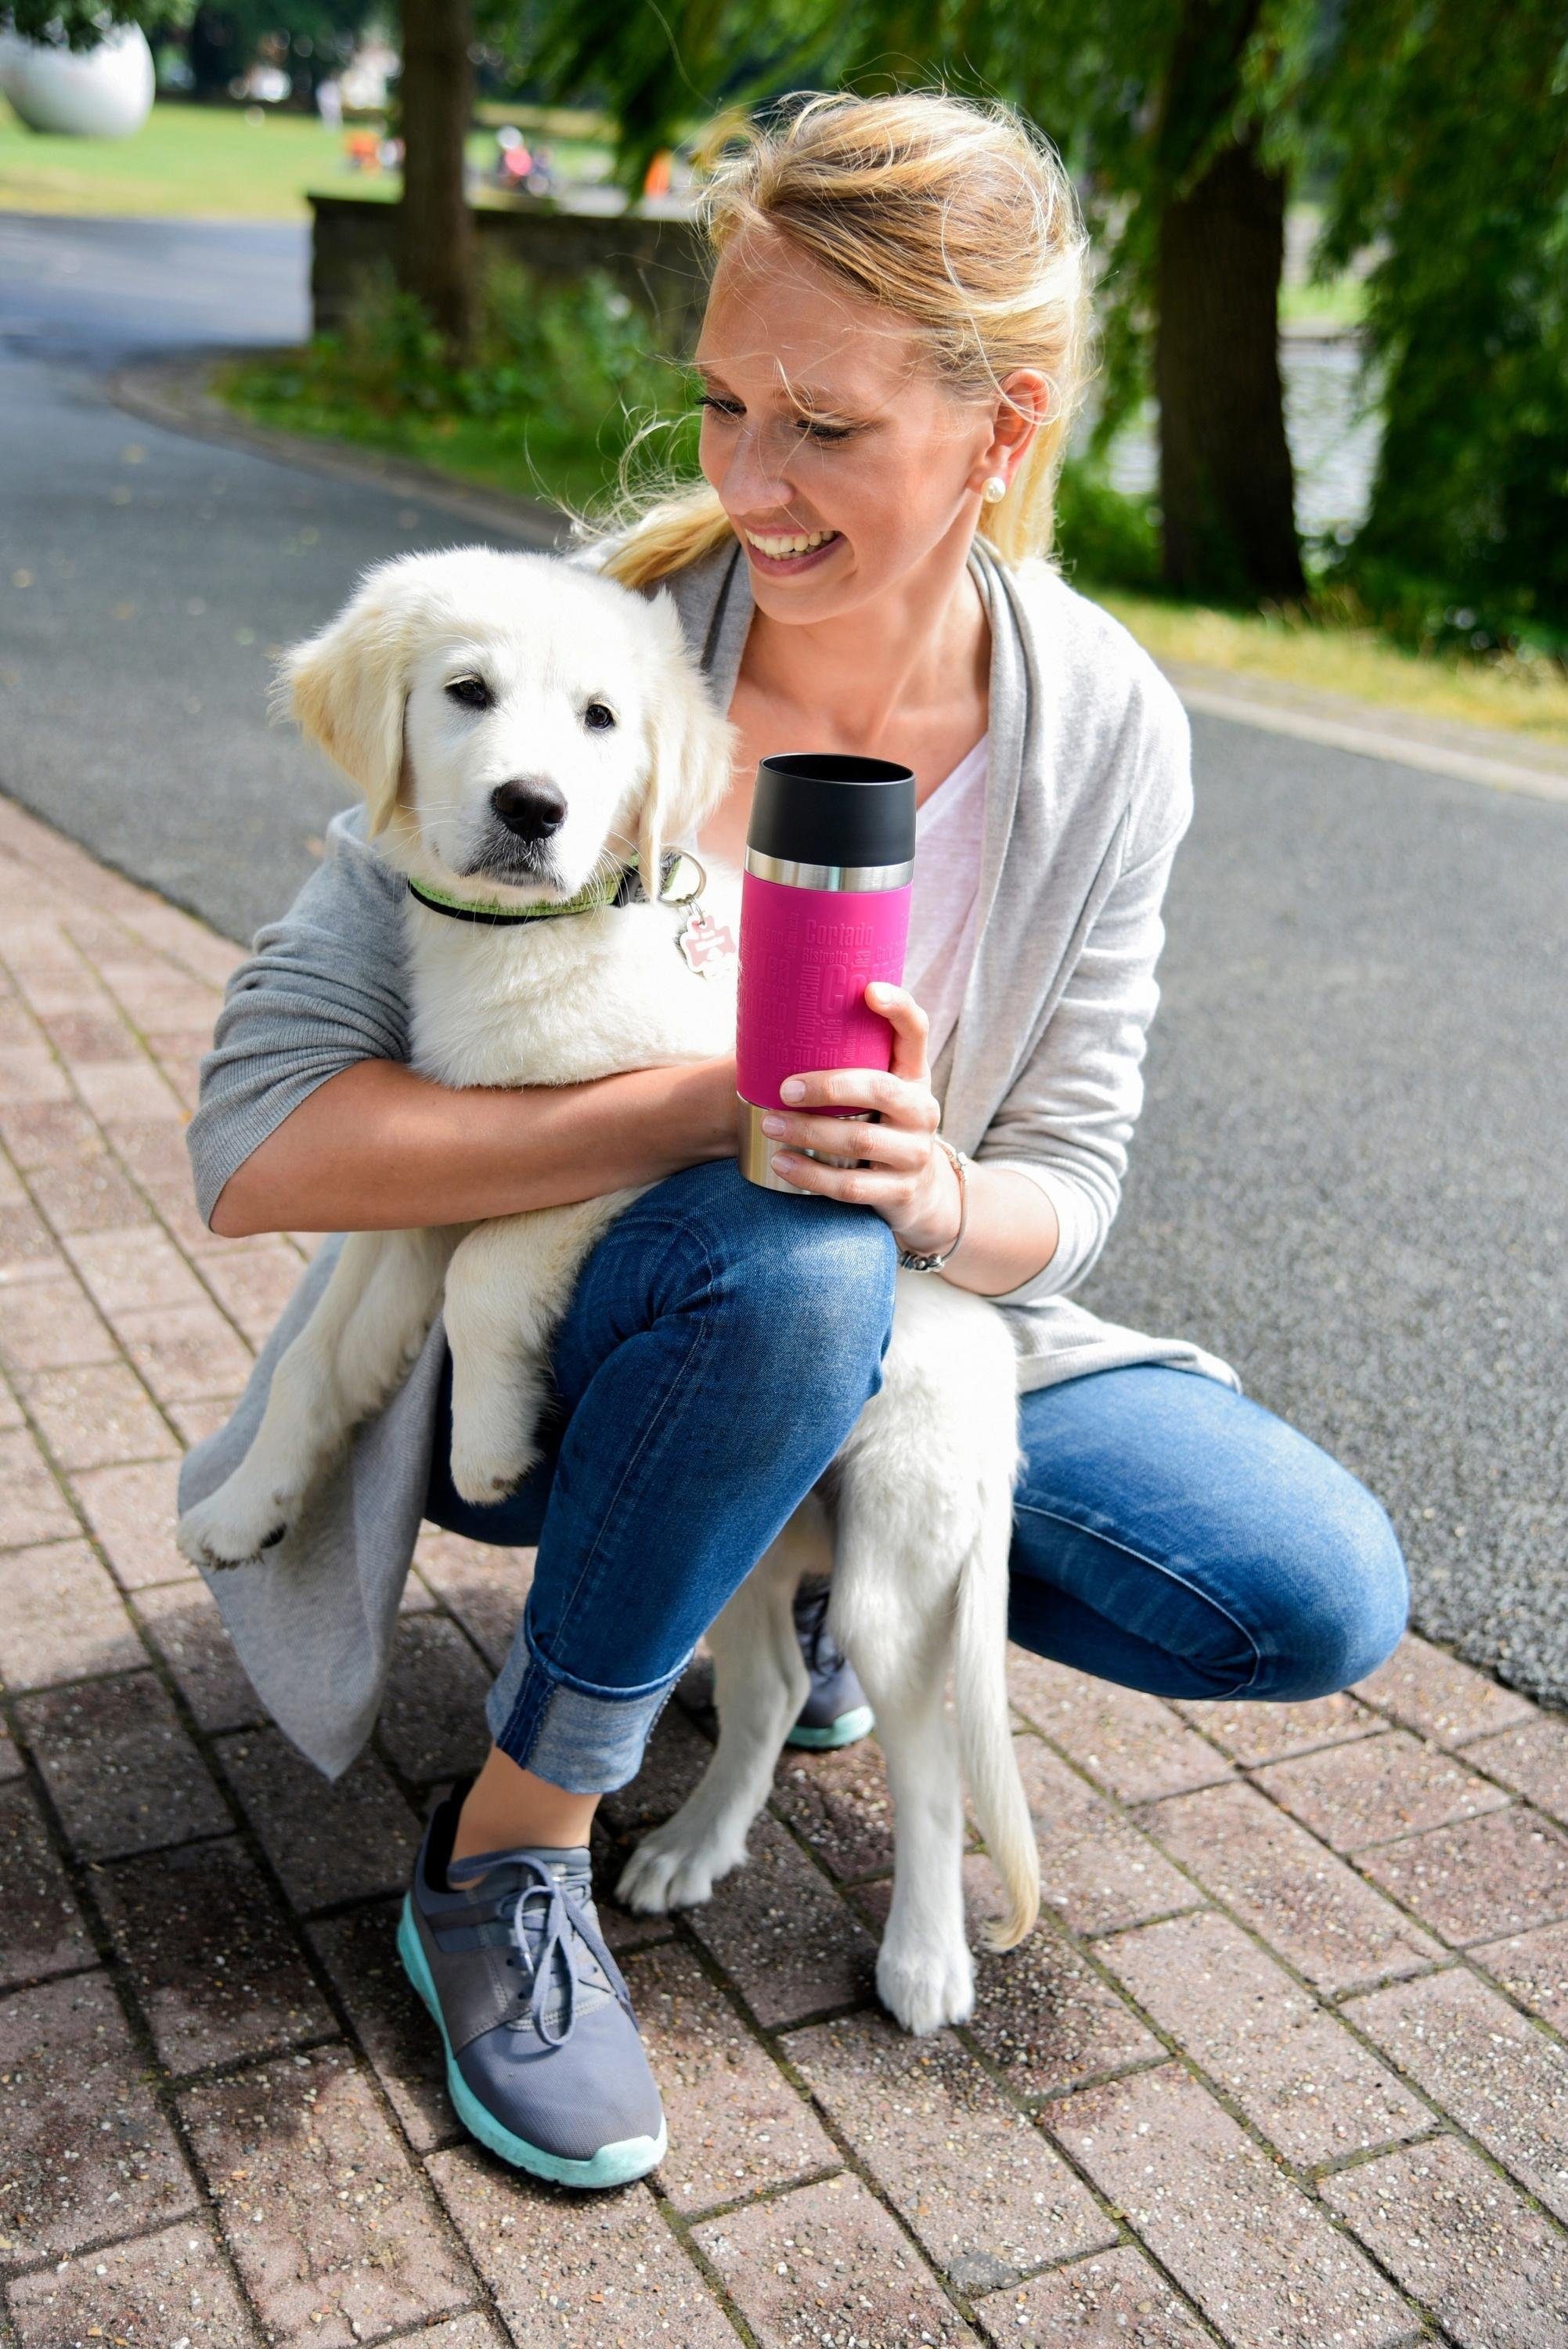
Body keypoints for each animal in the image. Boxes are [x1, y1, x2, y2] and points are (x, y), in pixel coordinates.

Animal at [177, 545, 1033, 2020]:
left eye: (599, 721)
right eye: (466, 693)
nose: (533, 809)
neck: (530, 940)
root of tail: (1004, 1389)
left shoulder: (620, 1146)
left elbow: (487, 1279)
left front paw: (488, 1442)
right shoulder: (423, 1190)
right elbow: (317, 1368)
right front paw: (247, 1510)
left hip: (901, 1562)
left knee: (927, 1768)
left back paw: (923, 1960)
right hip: (753, 1547)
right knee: (763, 1697)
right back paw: (689, 1852)